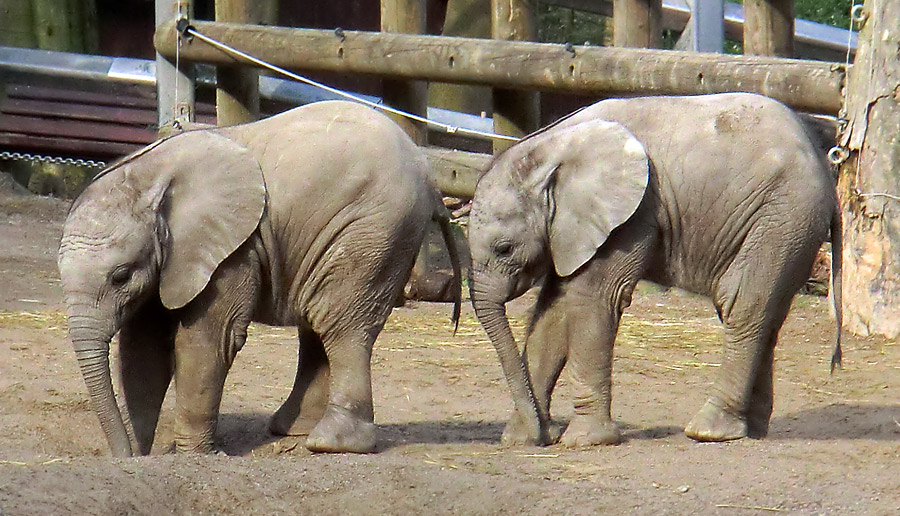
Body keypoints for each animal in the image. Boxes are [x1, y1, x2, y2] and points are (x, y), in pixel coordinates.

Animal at [59, 100, 460, 456]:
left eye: (120, 276)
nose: (122, 453)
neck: (147, 176)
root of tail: (429, 173)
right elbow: (141, 348)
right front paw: (145, 454)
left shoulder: (232, 251)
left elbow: (206, 340)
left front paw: (195, 455)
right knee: (318, 323)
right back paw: (292, 429)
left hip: (375, 230)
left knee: (340, 323)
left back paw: (331, 444)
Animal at [472, 92, 844, 448]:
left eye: (503, 248)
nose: (543, 434)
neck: (551, 147)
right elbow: (554, 307)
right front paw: (521, 438)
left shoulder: (632, 216)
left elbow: (594, 299)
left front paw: (585, 441)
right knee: (766, 313)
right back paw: (748, 431)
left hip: (783, 217)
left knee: (742, 303)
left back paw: (708, 431)